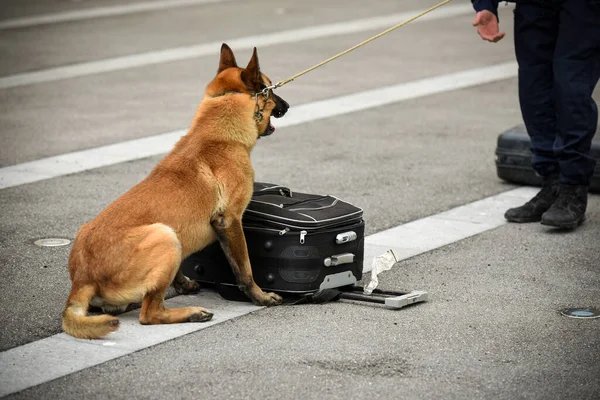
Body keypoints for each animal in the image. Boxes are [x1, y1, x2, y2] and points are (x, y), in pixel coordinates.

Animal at [63, 43, 290, 338]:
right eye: (270, 89)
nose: (288, 106)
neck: (219, 133)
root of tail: (82, 278)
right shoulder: (230, 221)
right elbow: (244, 269)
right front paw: (260, 297)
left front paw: (183, 283)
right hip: (165, 235)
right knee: (149, 314)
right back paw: (192, 313)